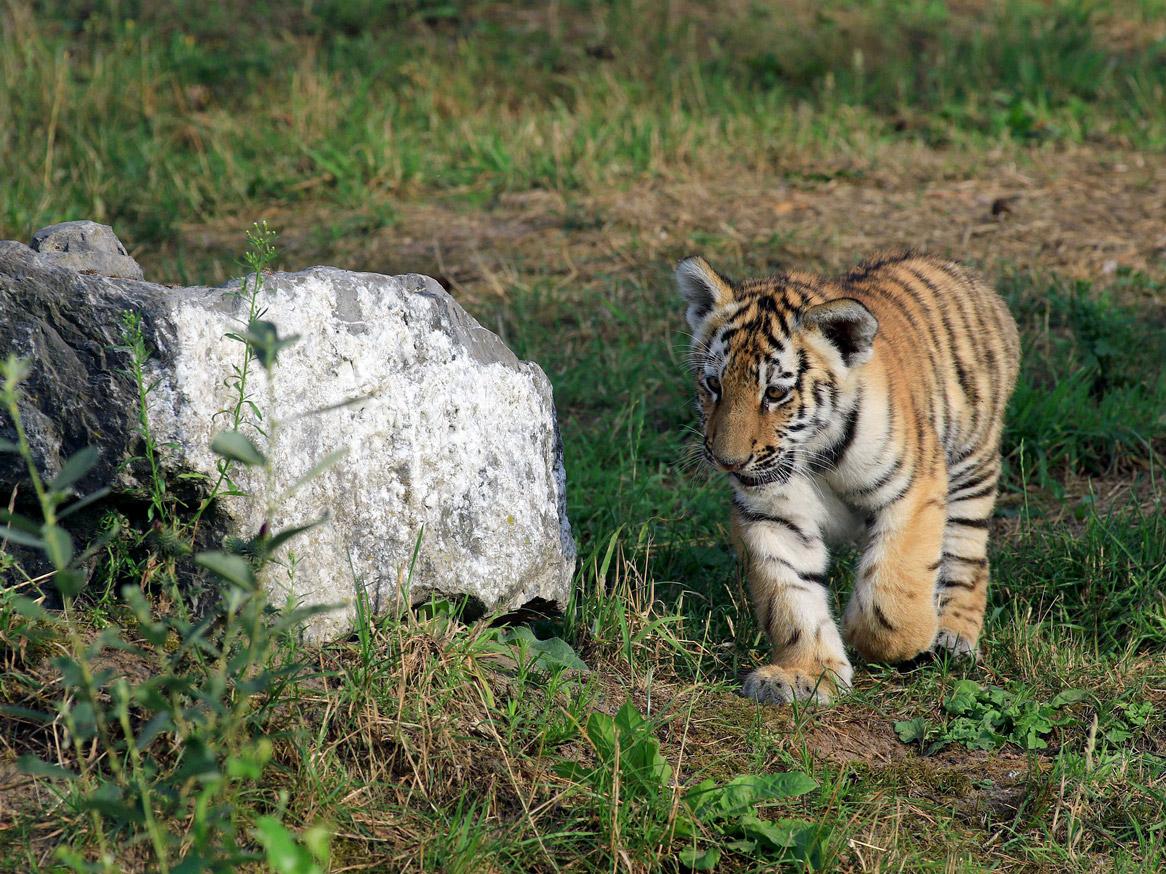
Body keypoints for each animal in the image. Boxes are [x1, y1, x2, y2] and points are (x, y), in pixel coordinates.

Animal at [677, 251, 1020, 704]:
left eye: (775, 394)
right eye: (714, 384)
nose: (728, 462)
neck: (814, 451)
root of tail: (958, 269)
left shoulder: (914, 490)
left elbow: (894, 588)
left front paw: (888, 639)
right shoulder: (773, 516)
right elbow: (790, 597)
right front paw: (805, 675)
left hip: (971, 463)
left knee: (968, 557)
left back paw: (951, 636)